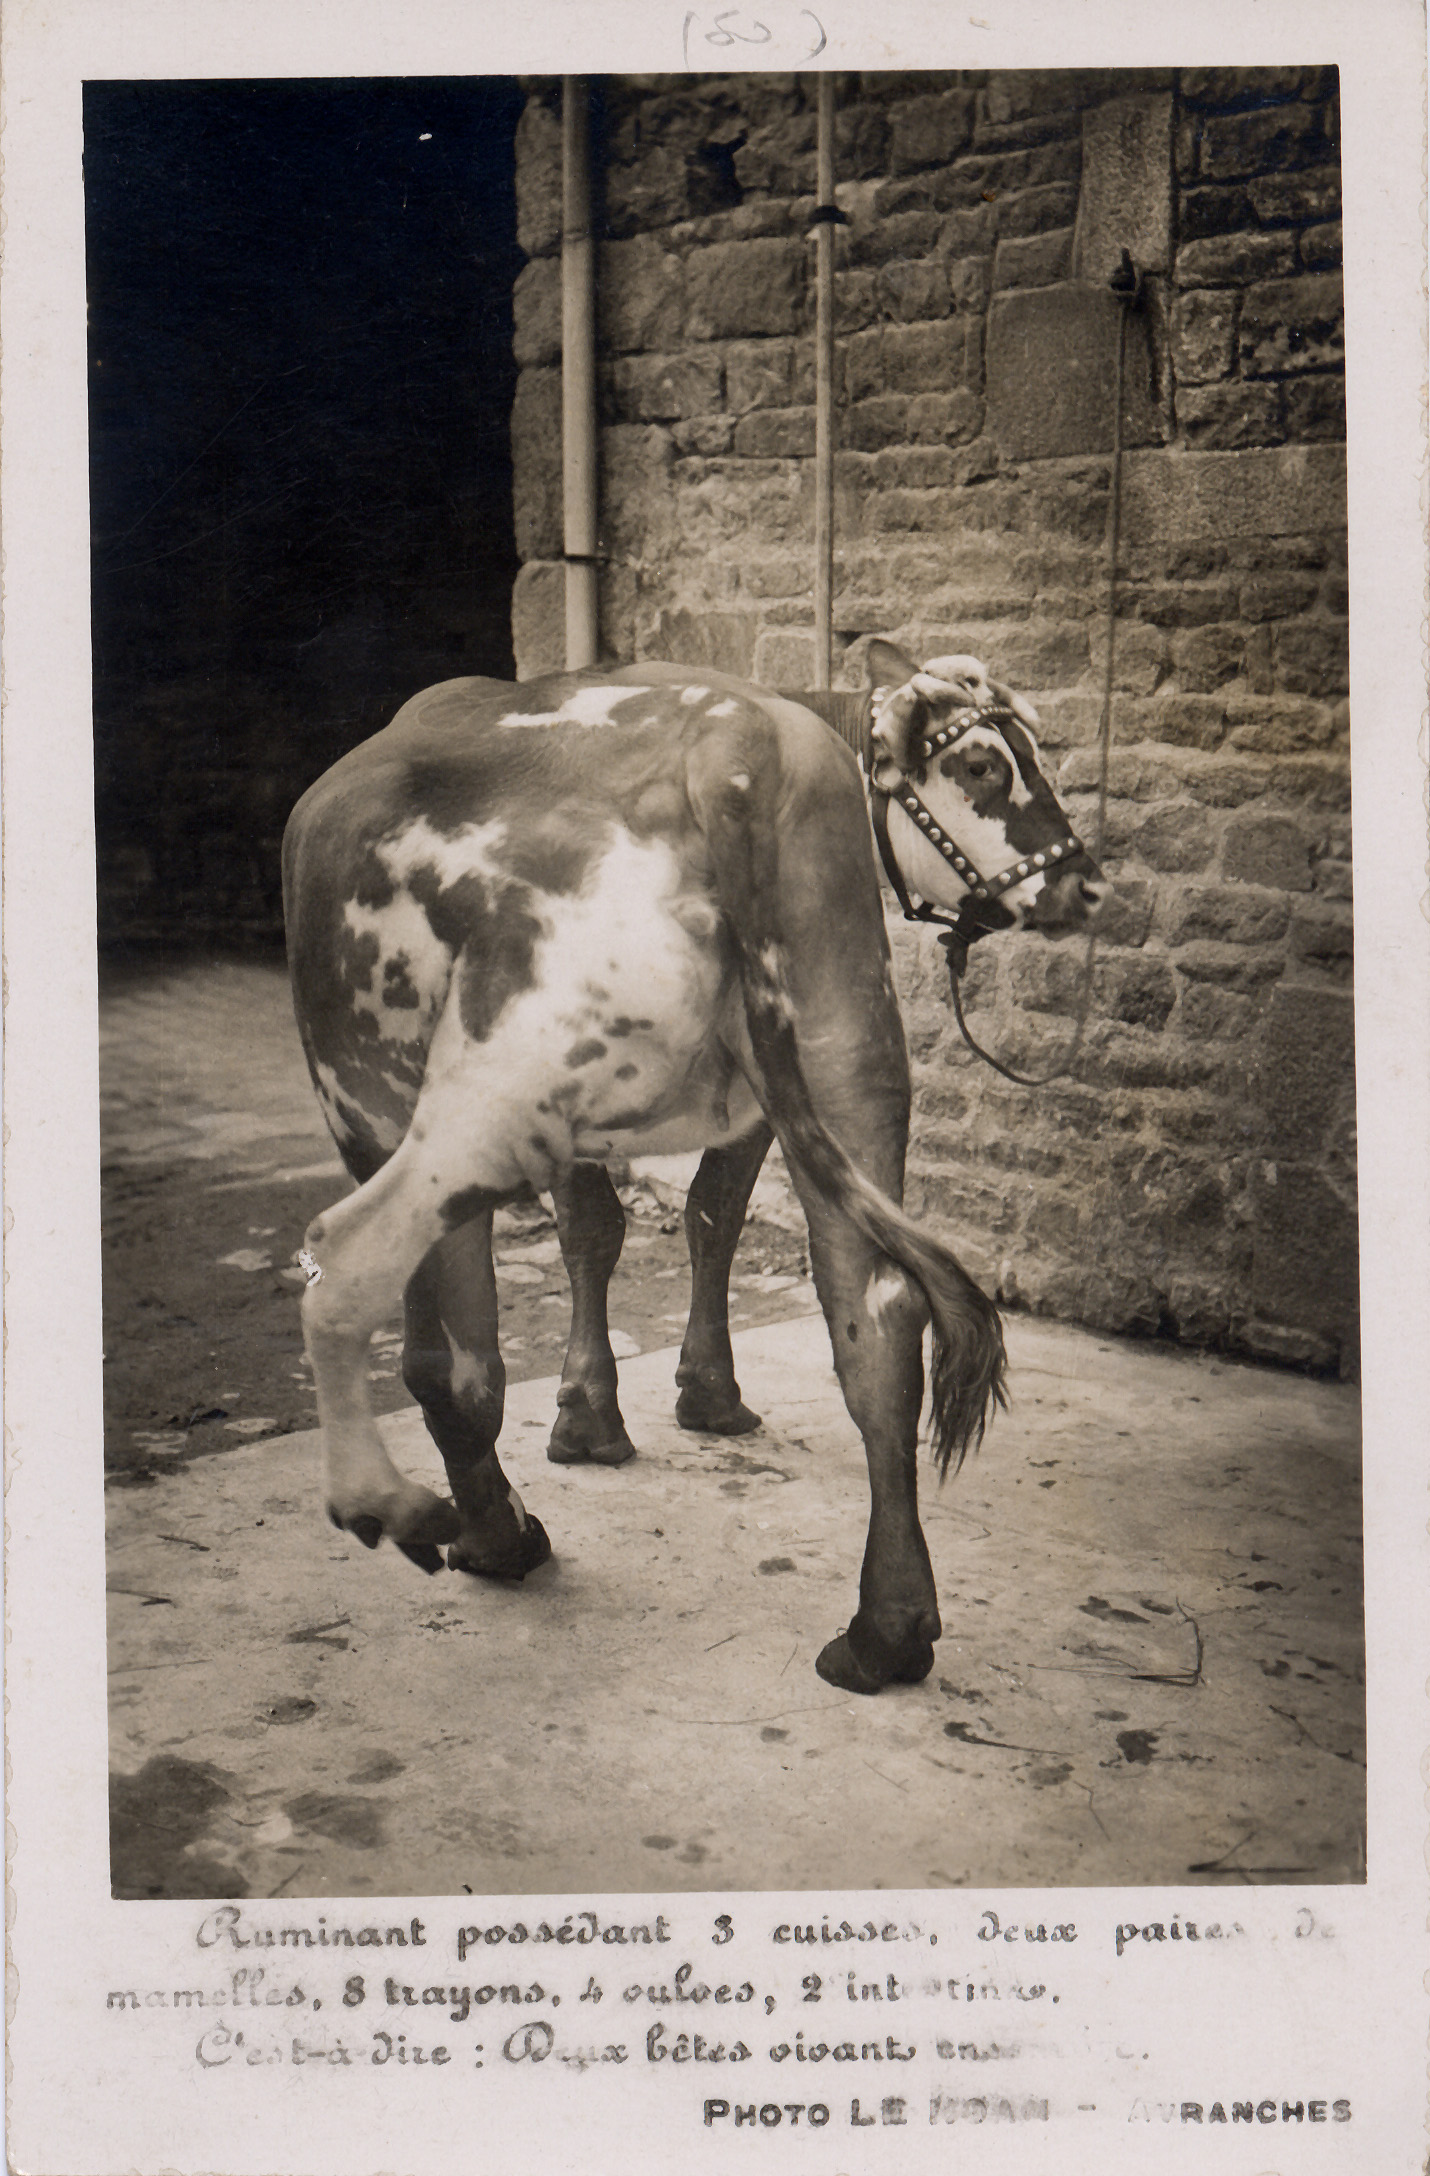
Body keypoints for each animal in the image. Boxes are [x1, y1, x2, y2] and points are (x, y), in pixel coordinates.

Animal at [282, 640, 1106, 1694]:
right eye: (982, 766)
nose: (1087, 887)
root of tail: (730, 744)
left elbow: (640, 1229)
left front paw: (618, 1413)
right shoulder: (758, 1101)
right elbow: (678, 1222)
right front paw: (639, 1406)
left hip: (457, 1101)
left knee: (406, 1318)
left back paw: (456, 1523)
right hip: (848, 1048)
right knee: (877, 1317)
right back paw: (886, 1633)